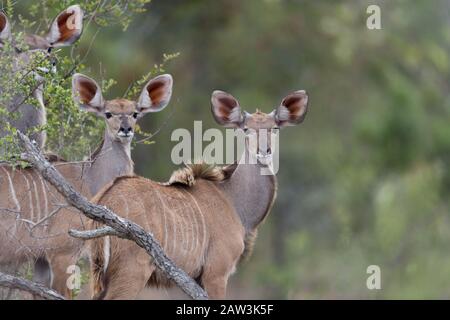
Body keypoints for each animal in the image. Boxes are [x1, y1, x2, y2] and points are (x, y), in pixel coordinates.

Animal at [0, 73, 172, 298]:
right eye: (108, 113)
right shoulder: (62, 253)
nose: (125, 129)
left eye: (135, 113)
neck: (89, 180)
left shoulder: (41, 259)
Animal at [86, 89, 308, 298]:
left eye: (275, 128)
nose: (264, 151)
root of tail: (106, 199)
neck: (232, 198)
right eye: (246, 129)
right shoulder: (216, 273)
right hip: (131, 272)